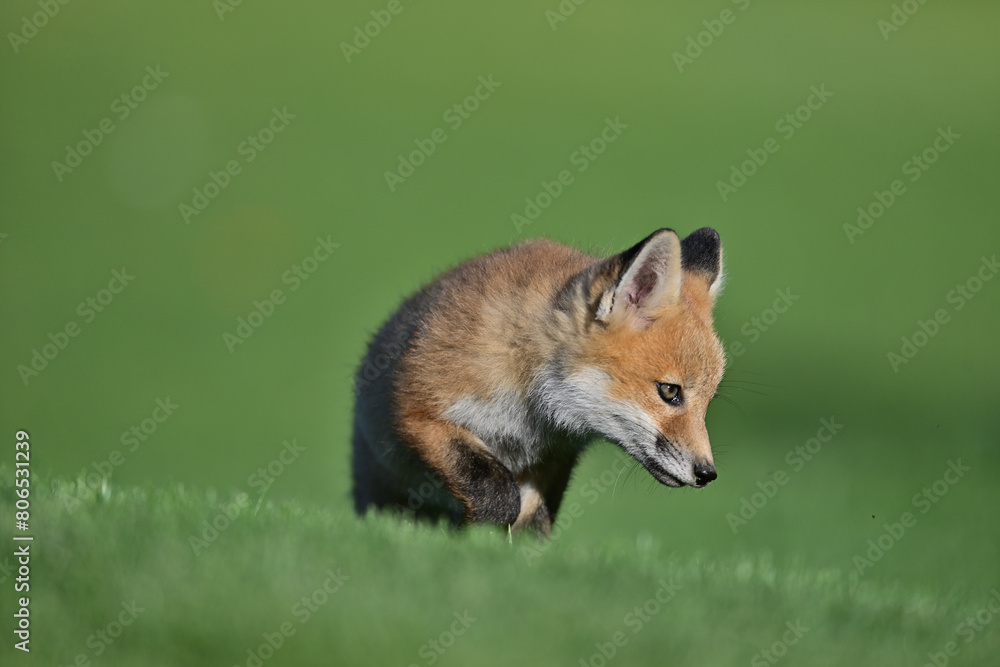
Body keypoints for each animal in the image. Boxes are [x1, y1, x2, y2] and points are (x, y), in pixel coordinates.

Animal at [352, 228, 726, 536]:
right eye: (670, 391)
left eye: (708, 401)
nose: (707, 474)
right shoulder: (418, 413)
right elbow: (496, 494)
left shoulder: (553, 458)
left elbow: (529, 519)